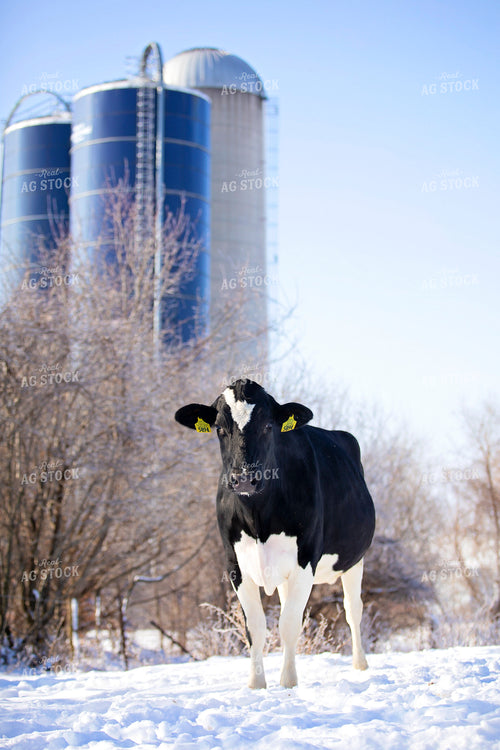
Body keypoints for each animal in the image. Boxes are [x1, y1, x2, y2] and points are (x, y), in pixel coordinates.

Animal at [175, 379, 376, 689]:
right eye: (219, 429)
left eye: (269, 426)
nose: (244, 478)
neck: (258, 518)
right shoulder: (234, 565)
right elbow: (255, 627)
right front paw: (256, 683)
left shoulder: (306, 559)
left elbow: (290, 623)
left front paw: (288, 681)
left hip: (354, 560)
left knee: (353, 610)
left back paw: (360, 664)